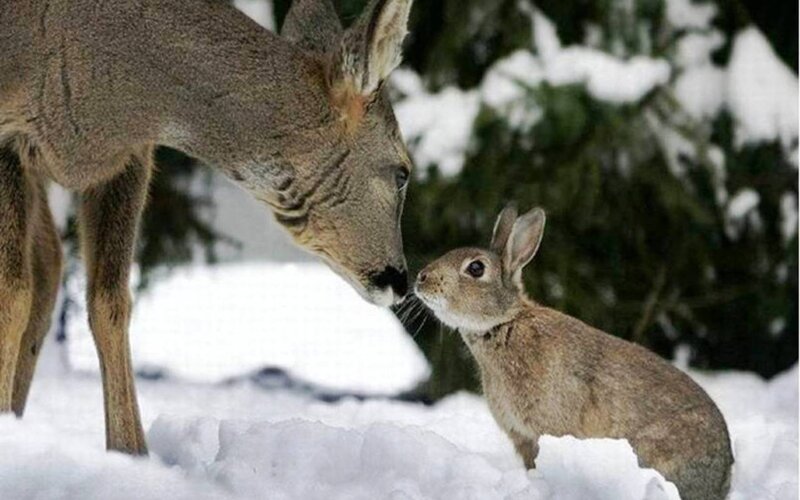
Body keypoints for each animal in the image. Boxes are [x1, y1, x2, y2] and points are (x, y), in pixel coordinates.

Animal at [0, 0, 414, 455]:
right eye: (403, 172)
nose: (399, 279)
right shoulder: (10, 135)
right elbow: (11, 295)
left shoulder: (129, 157)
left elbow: (109, 303)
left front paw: (131, 453)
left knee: (49, 264)